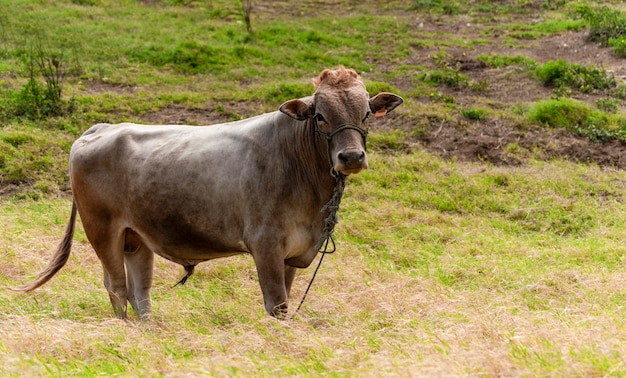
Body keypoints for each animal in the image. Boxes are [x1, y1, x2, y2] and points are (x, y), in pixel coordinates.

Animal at [18, 66, 404, 318]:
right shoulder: (265, 244)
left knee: (140, 292)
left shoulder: (293, 251)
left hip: (136, 238)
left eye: (366, 113)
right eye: (320, 116)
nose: (351, 156)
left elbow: (287, 301)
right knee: (117, 288)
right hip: (102, 231)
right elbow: (277, 305)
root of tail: (102, 127)